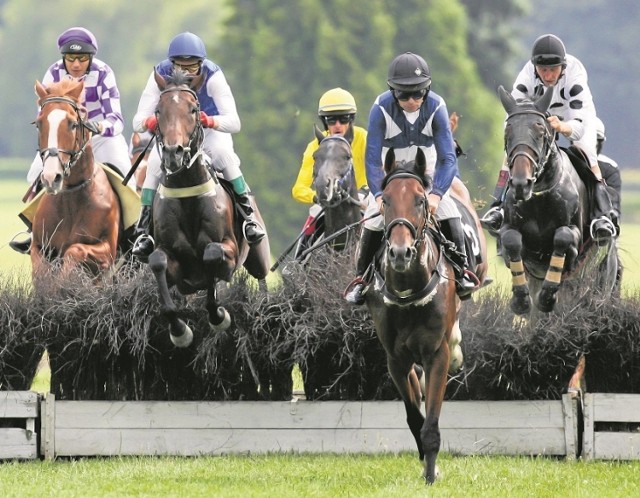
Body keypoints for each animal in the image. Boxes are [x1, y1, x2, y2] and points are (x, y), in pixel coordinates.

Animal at [364, 147, 484, 482]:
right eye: (386, 200)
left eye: (420, 200)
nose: (400, 253)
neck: (408, 290)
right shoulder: (395, 358)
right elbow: (414, 416)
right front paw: (426, 462)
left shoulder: (436, 353)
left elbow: (430, 421)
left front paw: (431, 474)